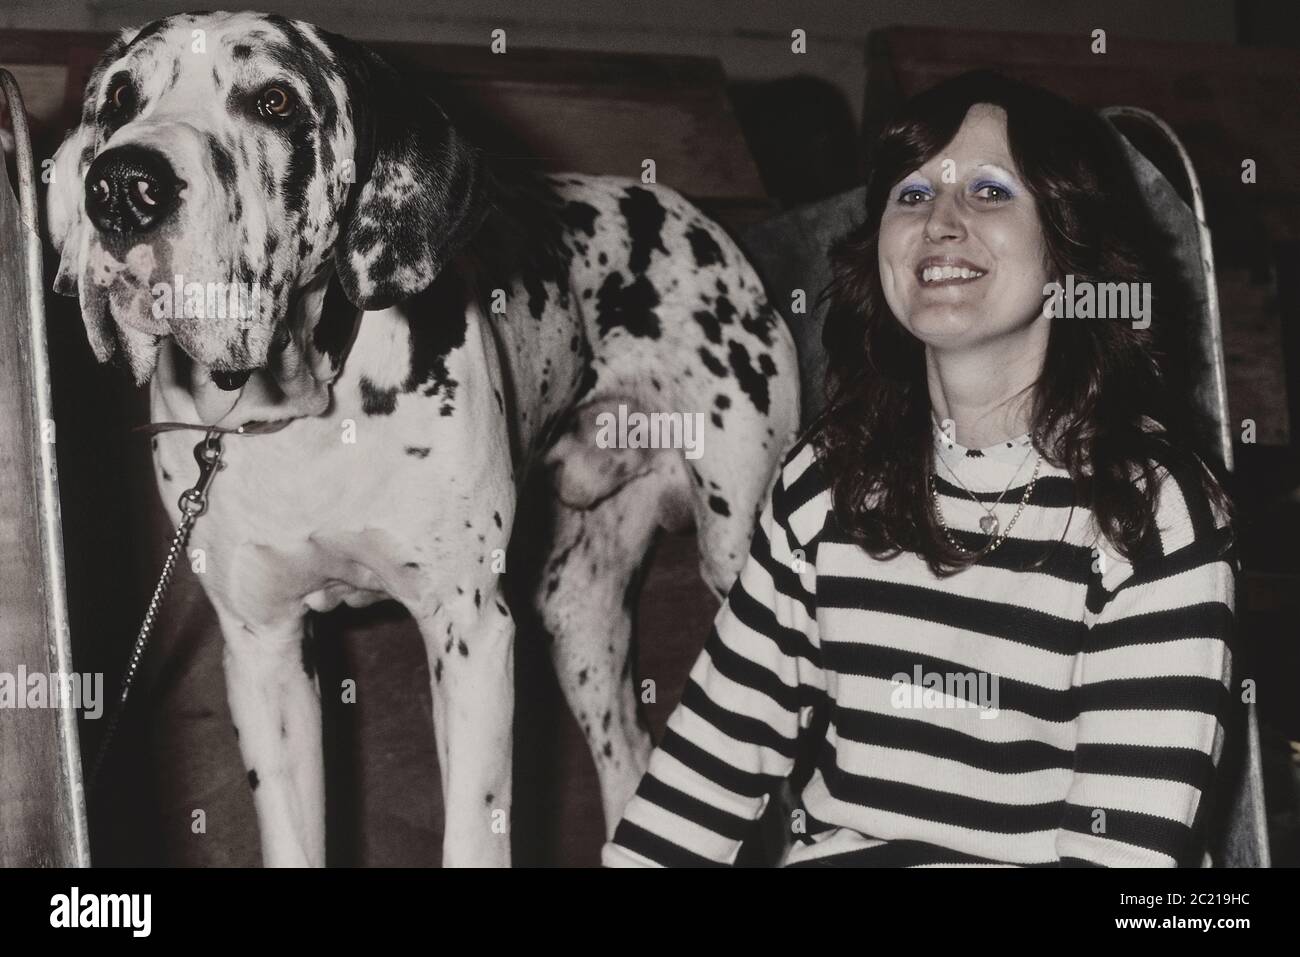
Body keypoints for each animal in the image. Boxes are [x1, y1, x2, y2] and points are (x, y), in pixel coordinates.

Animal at [45, 9, 795, 868]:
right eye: (119, 97)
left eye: (274, 102)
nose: (121, 187)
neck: (300, 416)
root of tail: (699, 218)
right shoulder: (265, 651)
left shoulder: (469, 630)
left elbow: (473, 830)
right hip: (579, 615)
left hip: (738, 556)